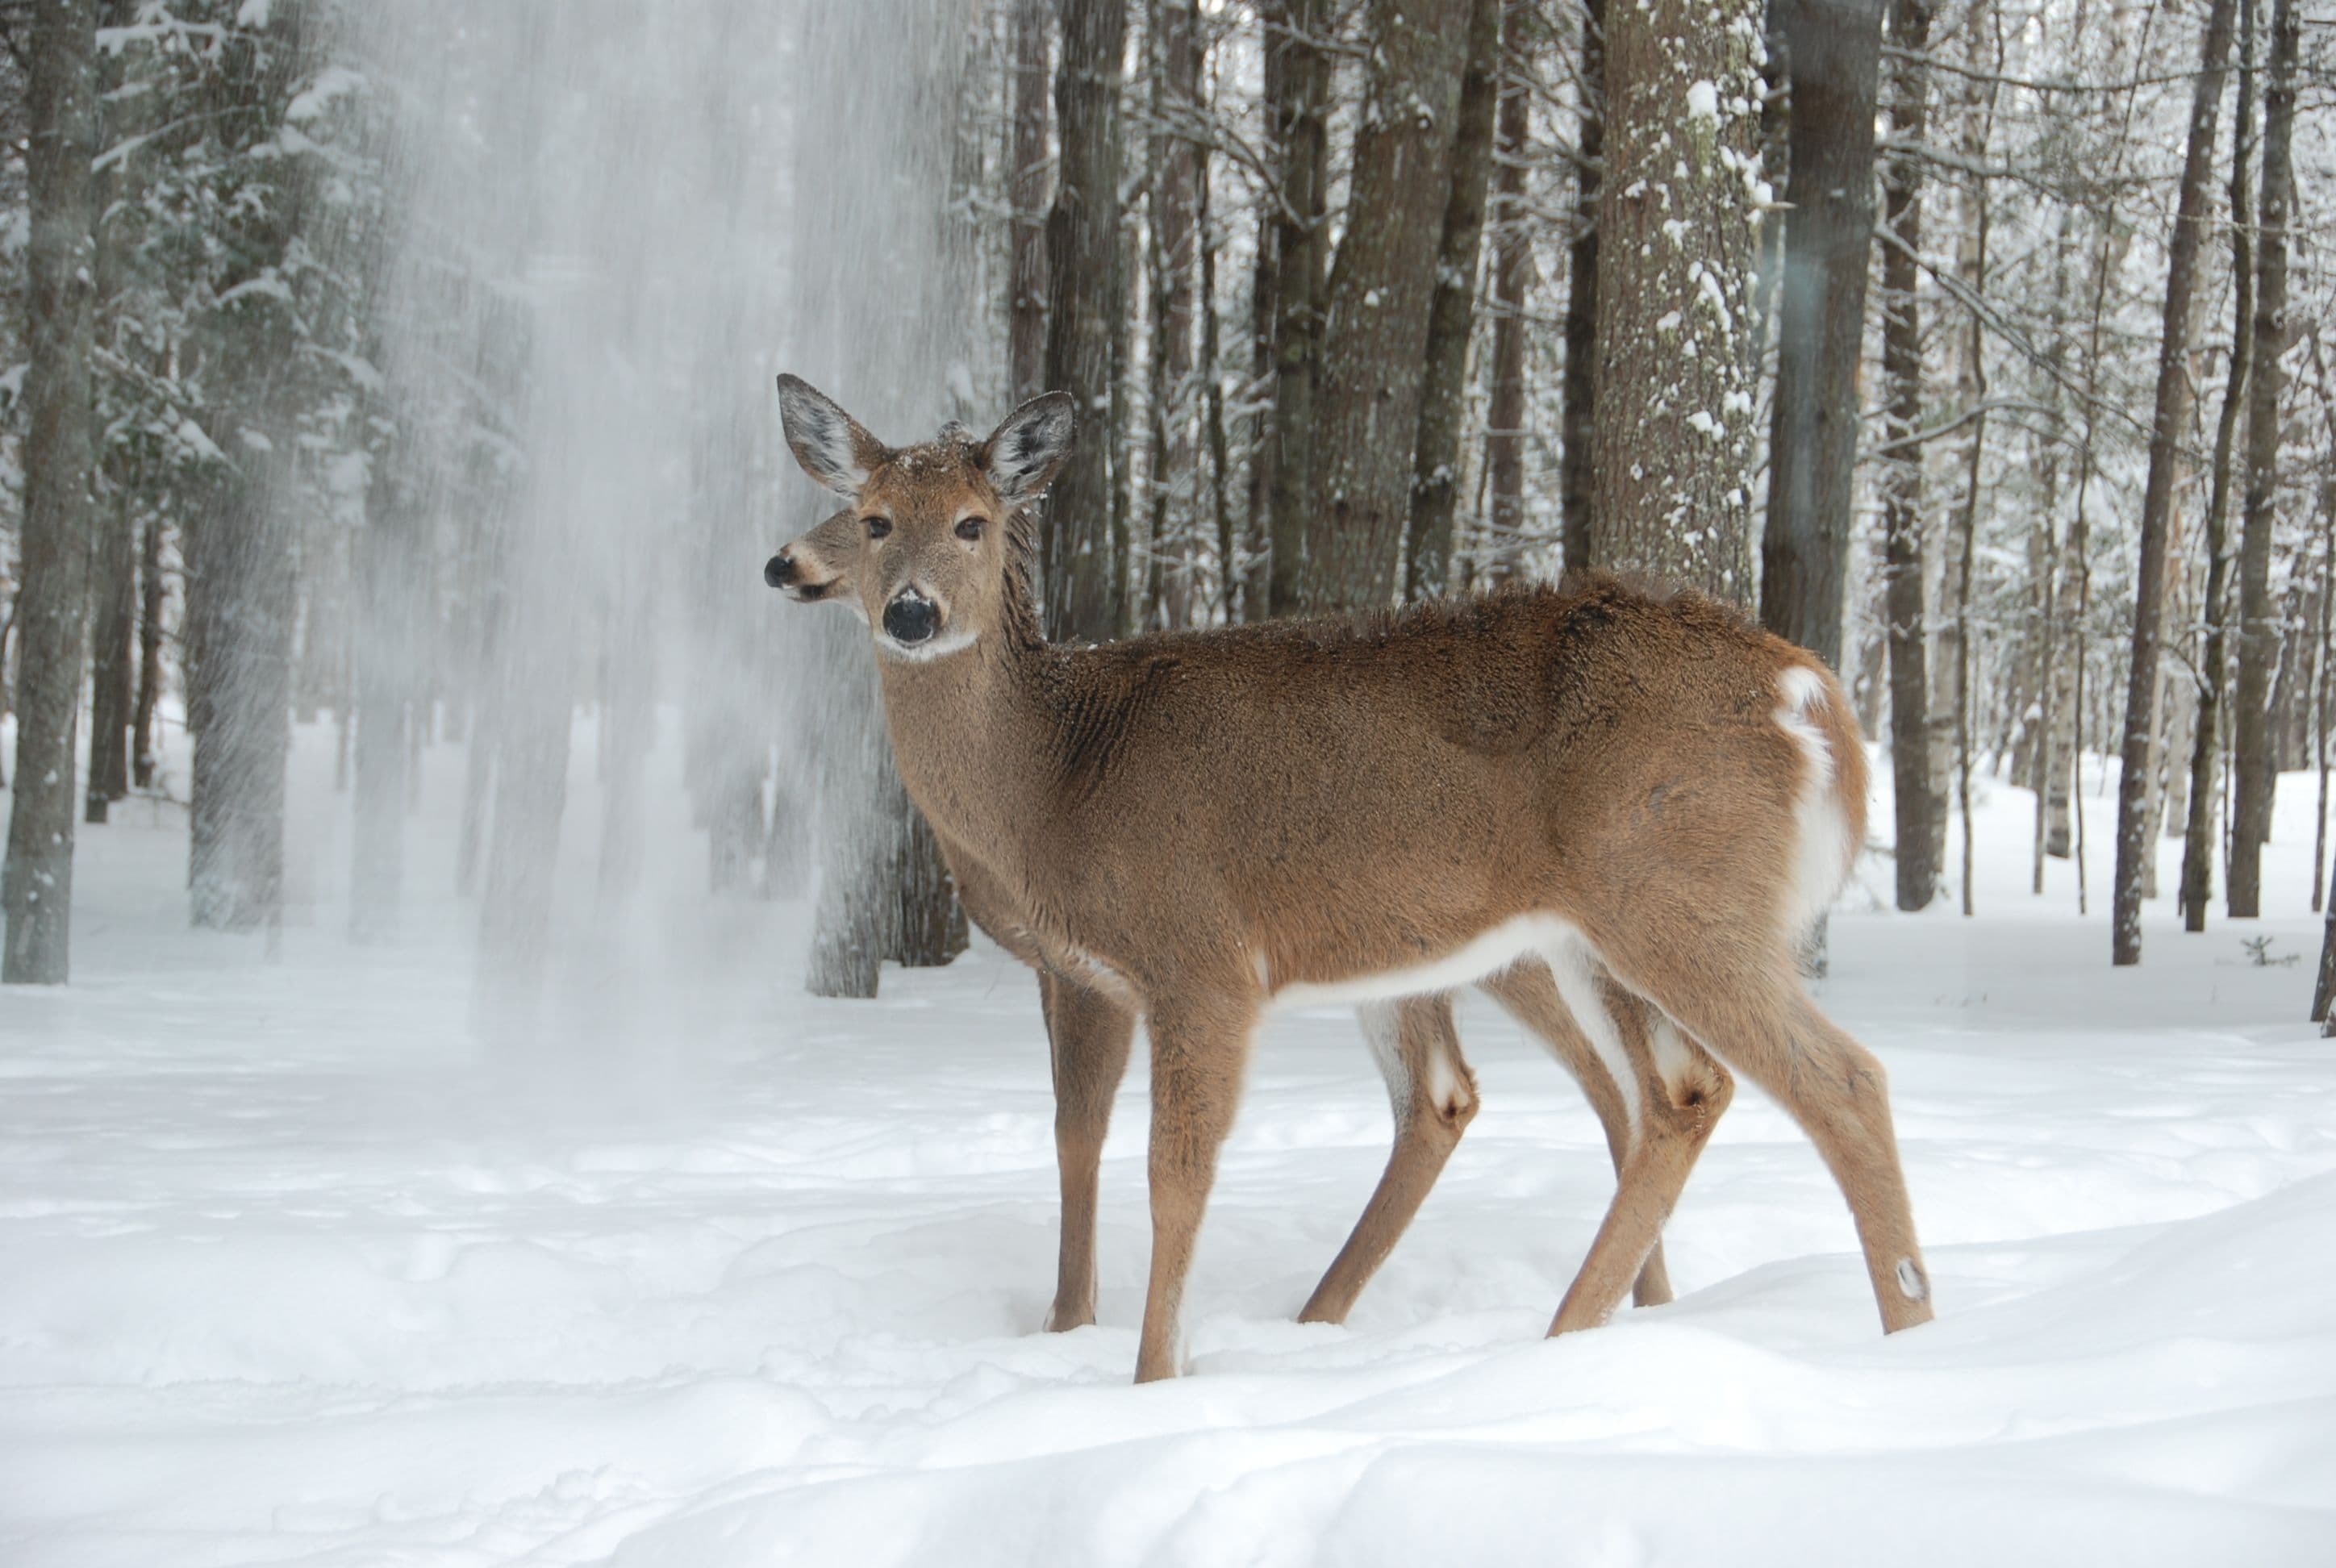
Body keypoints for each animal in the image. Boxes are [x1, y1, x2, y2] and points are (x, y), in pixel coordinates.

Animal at [764, 375, 1934, 1382]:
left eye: (974, 522)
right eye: (874, 517)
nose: (908, 612)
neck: (1055, 777)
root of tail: (1809, 689)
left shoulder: (1200, 954)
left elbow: (1173, 1174)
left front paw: (1149, 1380)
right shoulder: (1089, 972)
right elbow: (1073, 1140)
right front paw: (1069, 1336)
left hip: (1673, 894)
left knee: (1836, 1082)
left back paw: (1907, 1340)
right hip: (1576, 932)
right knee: (1661, 1094)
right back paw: (1563, 1333)